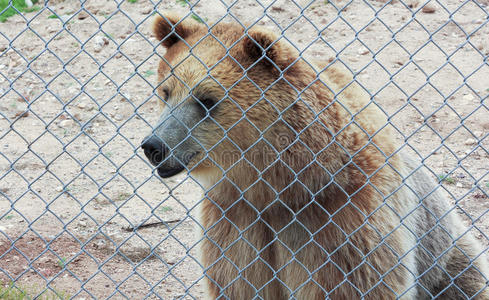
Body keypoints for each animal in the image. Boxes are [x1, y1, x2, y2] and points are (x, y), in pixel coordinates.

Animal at [141, 12, 488, 300]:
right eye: (166, 91)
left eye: (207, 99)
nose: (154, 145)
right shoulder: (236, 216)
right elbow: (240, 282)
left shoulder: (340, 221)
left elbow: (354, 283)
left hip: (447, 260)